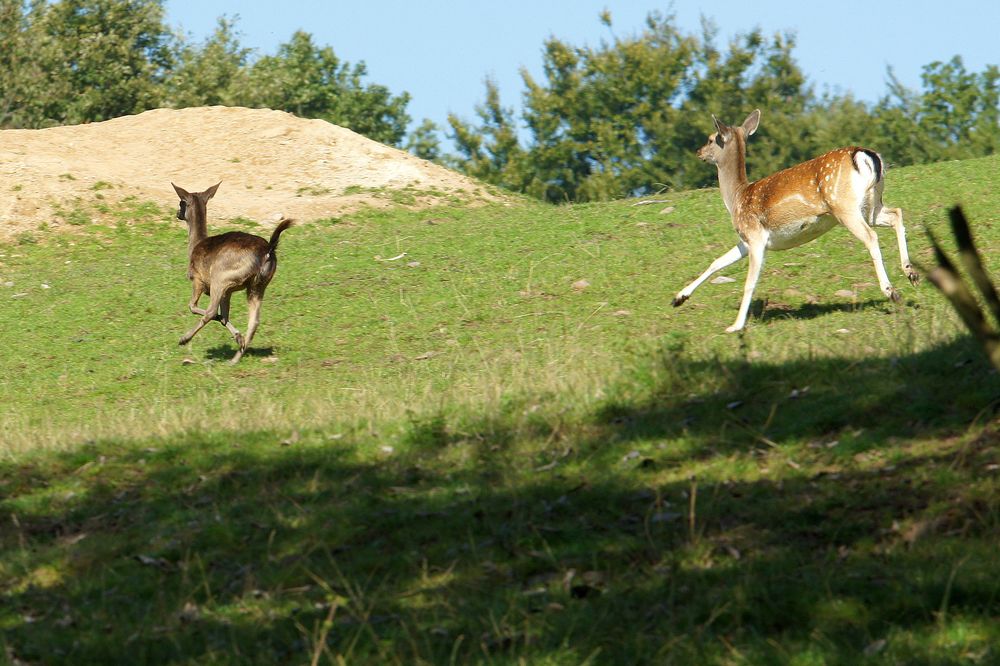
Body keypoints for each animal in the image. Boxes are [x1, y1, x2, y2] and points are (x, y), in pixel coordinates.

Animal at [172, 182, 292, 364]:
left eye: (181, 202)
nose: (177, 213)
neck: (195, 245)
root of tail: (268, 251)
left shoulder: (198, 279)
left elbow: (193, 307)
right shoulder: (227, 292)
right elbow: (225, 316)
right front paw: (237, 336)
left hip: (220, 277)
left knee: (211, 311)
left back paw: (185, 339)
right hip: (257, 285)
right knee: (254, 321)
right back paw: (235, 357)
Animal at [672, 108, 916, 332]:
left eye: (711, 138)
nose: (698, 151)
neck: (737, 198)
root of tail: (864, 155)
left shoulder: (755, 236)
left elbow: (750, 282)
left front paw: (735, 325)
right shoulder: (745, 240)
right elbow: (717, 262)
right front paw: (678, 298)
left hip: (844, 207)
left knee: (871, 236)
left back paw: (891, 291)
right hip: (871, 206)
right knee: (897, 213)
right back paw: (911, 272)